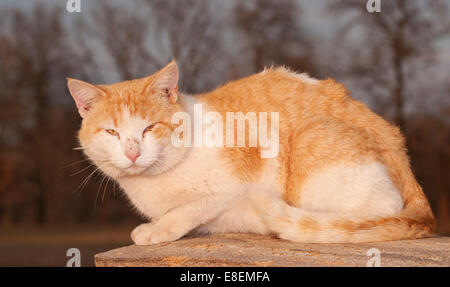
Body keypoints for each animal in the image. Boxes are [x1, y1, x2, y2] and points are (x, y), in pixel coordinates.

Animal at [67, 60, 436, 245]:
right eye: (112, 132)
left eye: (149, 128)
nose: (132, 152)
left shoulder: (231, 184)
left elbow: (185, 211)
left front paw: (158, 229)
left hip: (313, 139)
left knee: (379, 210)